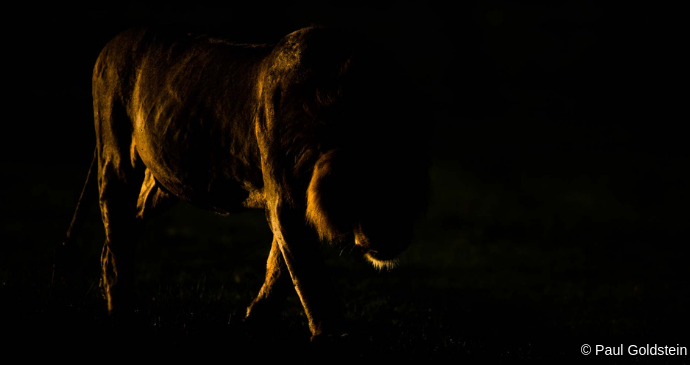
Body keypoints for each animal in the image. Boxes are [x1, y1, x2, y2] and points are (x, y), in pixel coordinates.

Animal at [64, 25, 430, 338]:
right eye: (363, 188)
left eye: (405, 188)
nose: (393, 237)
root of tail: (113, 42)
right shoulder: (286, 202)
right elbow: (309, 276)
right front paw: (331, 334)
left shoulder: (293, 205)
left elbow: (280, 268)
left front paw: (255, 319)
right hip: (115, 160)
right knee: (116, 228)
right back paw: (119, 310)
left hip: (164, 183)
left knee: (128, 227)